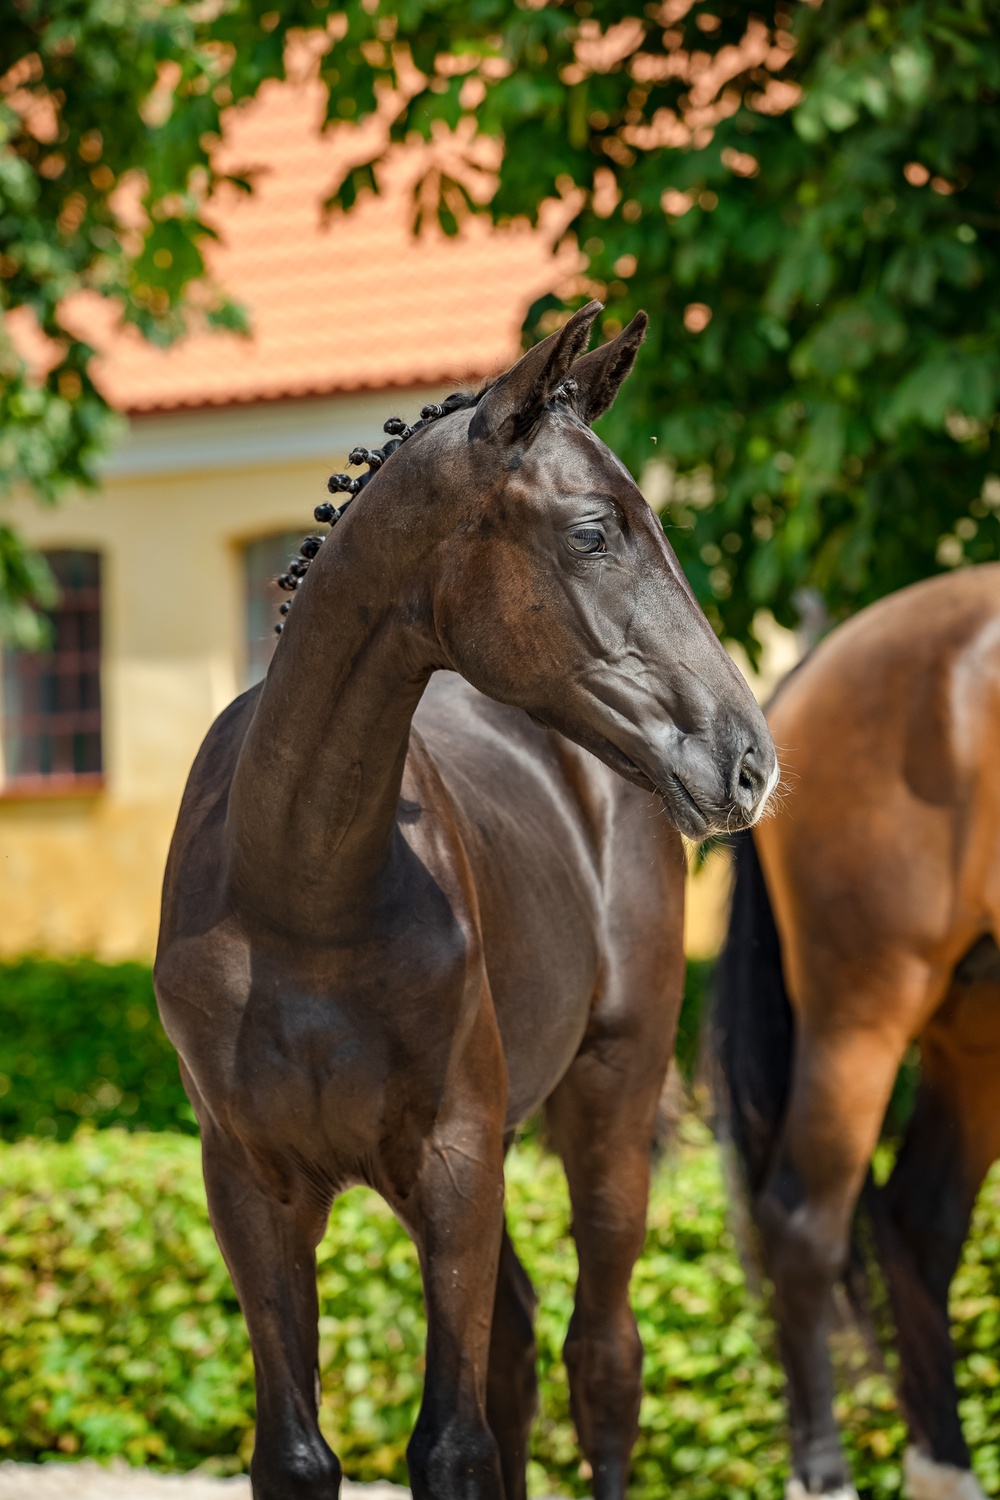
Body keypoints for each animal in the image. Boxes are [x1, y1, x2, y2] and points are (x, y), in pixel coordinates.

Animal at [152, 304, 779, 1500]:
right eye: (592, 533)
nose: (747, 762)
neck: (303, 893)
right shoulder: (250, 1184)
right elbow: (297, 1452)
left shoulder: (451, 1160)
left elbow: (449, 1441)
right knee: (524, 1345)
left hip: (607, 1099)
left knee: (601, 1357)